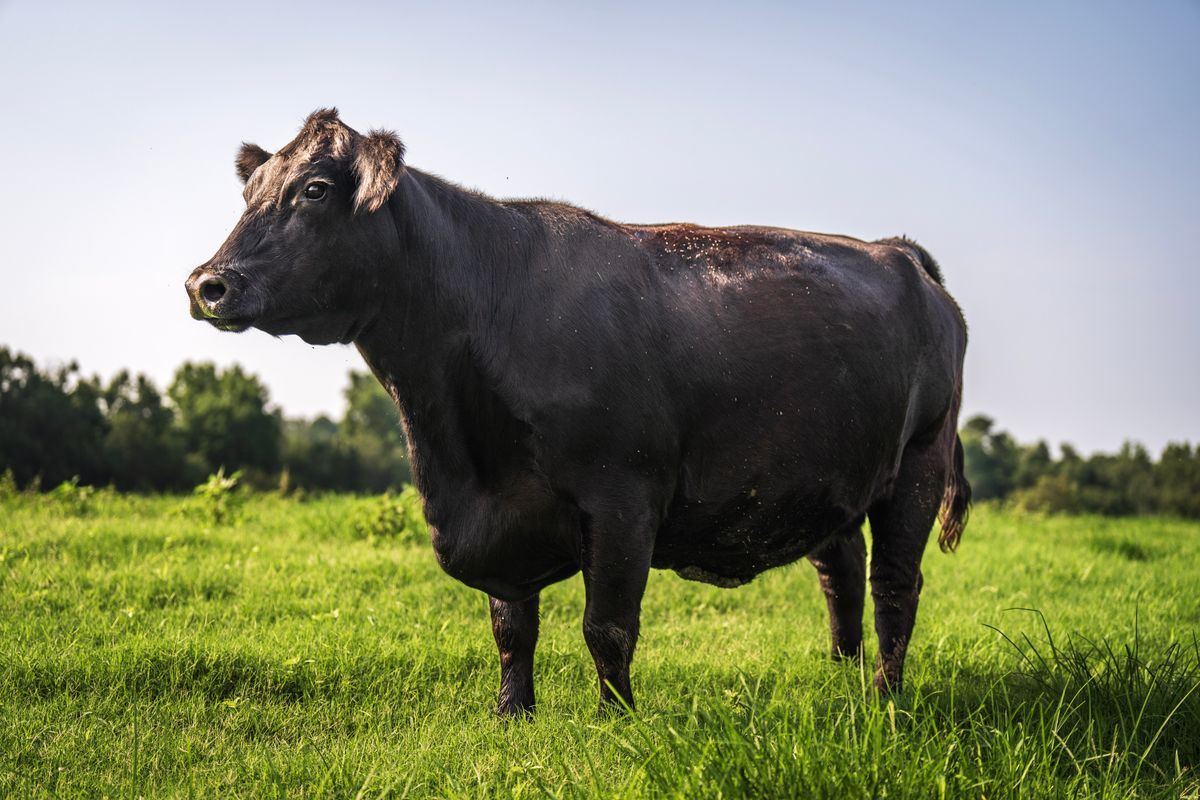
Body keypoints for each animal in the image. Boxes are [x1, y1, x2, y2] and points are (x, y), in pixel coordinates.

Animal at [186, 108, 971, 716]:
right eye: (252, 190)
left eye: (316, 189)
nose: (207, 283)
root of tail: (897, 251)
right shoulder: (502, 514)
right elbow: (511, 627)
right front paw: (513, 715)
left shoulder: (622, 498)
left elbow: (607, 626)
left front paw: (615, 720)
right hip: (830, 475)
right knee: (840, 571)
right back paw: (839, 675)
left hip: (918, 464)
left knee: (894, 585)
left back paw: (884, 698)